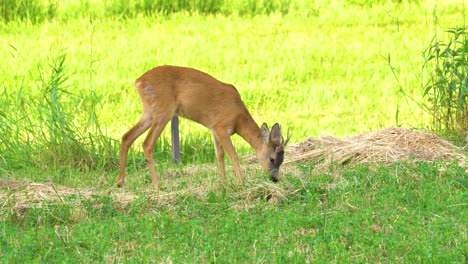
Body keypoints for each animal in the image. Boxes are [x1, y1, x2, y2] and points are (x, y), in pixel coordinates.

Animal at [118, 65, 288, 190]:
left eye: (282, 160)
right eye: (272, 158)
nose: (274, 179)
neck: (238, 119)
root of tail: (138, 81)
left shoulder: (214, 129)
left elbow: (219, 155)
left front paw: (224, 183)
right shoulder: (222, 127)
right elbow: (233, 155)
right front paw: (241, 183)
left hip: (149, 112)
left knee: (126, 136)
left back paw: (120, 182)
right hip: (163, 110)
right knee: (147, 144)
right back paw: (157, 187)